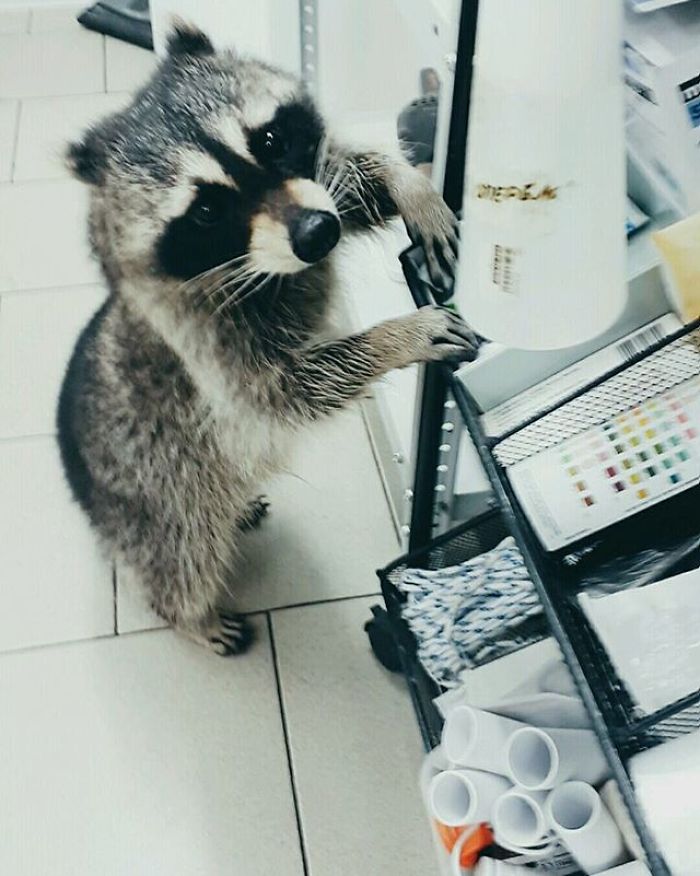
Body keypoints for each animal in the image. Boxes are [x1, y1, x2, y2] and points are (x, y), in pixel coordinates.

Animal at [57, 24, 477, 655]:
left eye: (273, 139)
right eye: (207, 209)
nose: (317, 233)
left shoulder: (316, 197)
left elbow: (344, 183)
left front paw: (404, 182)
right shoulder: (203, 342)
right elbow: (284, 390)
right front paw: (396, 337)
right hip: (155, 499)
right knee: (182, 559)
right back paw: (190, 617)